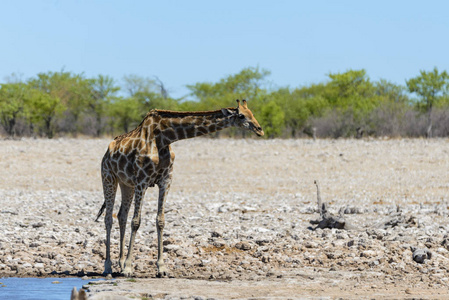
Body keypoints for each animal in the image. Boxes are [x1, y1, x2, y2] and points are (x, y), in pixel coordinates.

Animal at [94, 99, 262, 276]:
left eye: (252, 113)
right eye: (242, 115)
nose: (260, 129)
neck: (164, 138)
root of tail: (107, 152)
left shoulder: (166, 180)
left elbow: (160, 220)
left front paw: (161, 268)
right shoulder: (142, 181)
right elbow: (136, 221)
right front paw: (128, 267)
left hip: (126, 184)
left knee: (121, 215)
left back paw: (119, 263)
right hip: (108, 177)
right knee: (108, 218)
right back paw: (108, 266)